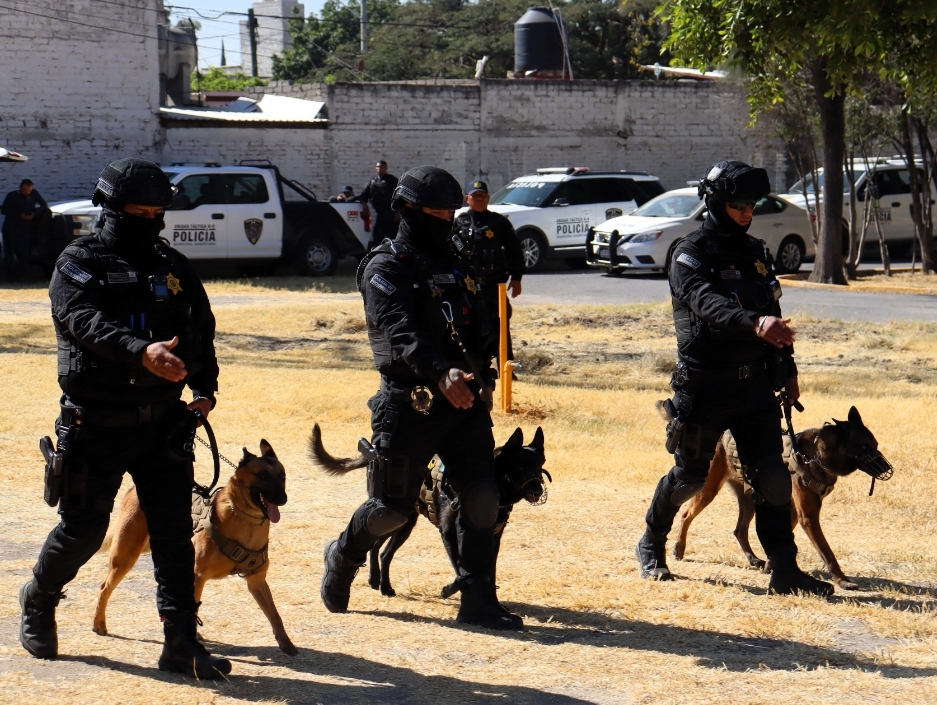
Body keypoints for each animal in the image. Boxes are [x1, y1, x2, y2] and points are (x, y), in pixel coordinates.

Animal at [92, 440, 297, 655]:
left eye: (282, 476)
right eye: (262, 476)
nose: (283, 499)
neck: (244, 518)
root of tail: (134, 488)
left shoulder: (256, 580)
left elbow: (274, 613)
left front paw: (286, 643)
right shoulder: (198, 576)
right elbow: (194, 608)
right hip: (125, 556)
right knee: (104, 587)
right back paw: (99, 624)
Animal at [309, 424, 550, 599]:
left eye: (539, 467)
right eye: (519, 467)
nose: (538, 490)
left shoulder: (493, 539)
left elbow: (486, 570)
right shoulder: (449, 534)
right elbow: (463, 570)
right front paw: (450, 590)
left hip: (406, 524)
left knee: (383, 551)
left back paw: (382, 584)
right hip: (397, 517)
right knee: (376, 542)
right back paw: (375, 580)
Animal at [672, 406, 889, 590]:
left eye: (876, 444)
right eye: (864, 447)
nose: (886, 468)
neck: (816, 455)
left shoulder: (792, 510)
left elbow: (782, 538)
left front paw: (772, 566)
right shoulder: (808, 517)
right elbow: (827, 551)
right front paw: (842, 580)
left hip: (750, 499)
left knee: (739, 530)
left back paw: (753, 559)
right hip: (708, 489)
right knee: (685, 515)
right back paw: (679, 549)